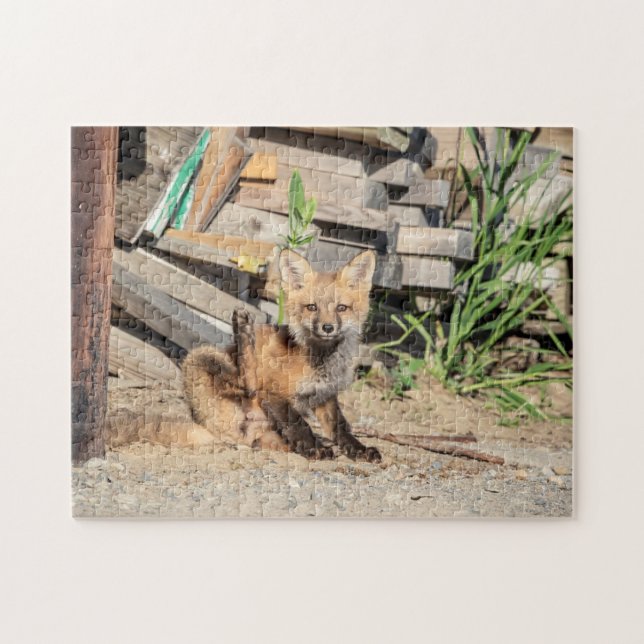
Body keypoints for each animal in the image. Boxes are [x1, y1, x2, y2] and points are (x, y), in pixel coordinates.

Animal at [181, 248, 382, 462]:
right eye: (312, 307)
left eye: (341, 308)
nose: (327, 328)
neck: (320, 362)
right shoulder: (275, 391)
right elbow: (299, 424)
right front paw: (315, 449)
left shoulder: (325, 395)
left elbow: (340, 427)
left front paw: (359, 449)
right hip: (203, 356)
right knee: (248, 383)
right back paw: (243, 330)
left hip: (266, 434)